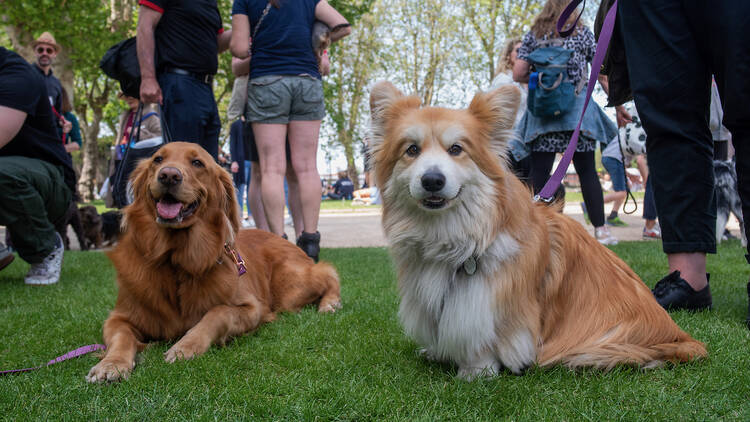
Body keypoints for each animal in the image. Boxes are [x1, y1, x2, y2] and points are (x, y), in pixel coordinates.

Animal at [86, 142, 342, 382]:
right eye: (157, 159)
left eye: (197, 163)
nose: (168, 175)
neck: (176, 260)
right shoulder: (119, 316)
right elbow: (121, 337)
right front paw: (111, 364)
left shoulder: (253, 308)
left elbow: (218, 313)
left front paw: (186, 346)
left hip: (290, 289)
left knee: (328, 272)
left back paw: (330, 303)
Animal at [372, 80, 712, 380]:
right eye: (411, 150)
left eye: (456, 149)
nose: (432, 180)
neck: (451, 233)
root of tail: (679, 337)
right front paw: (436, 352)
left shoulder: (491, 298)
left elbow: (486, 337)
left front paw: (475, 371)